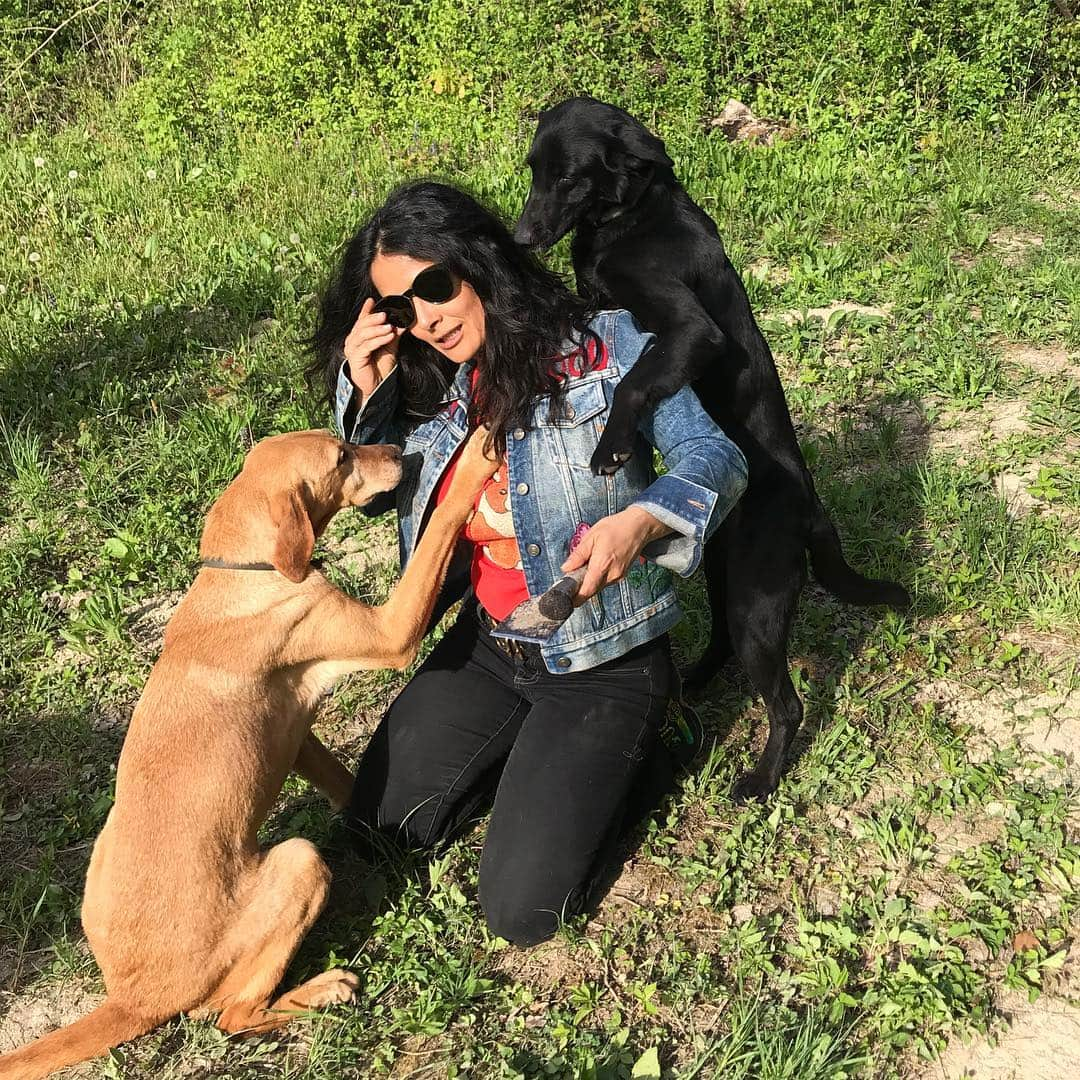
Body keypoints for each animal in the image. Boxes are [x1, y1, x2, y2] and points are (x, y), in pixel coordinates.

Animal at [0, 425, 494, 1080]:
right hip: (299, 862)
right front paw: (479, 454)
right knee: (232, 1015)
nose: (400, 453)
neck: (244, 573)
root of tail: (133, 998)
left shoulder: (299, 736)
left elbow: (347, 784)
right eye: (342, 457)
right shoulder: (390, 633)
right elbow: (441, 524)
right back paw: (320, 991)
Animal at [509, 97, 907, 799]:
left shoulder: (691, 329)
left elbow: (634, 382)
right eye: (534, 171)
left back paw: (762, 780)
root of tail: (812, 509)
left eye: (570, 178)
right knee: (720, 642)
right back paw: (694, 683)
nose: (524, 236)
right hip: (725, 576)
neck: (632, 216)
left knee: (788, 704)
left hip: (755, 600)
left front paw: (610, 447)